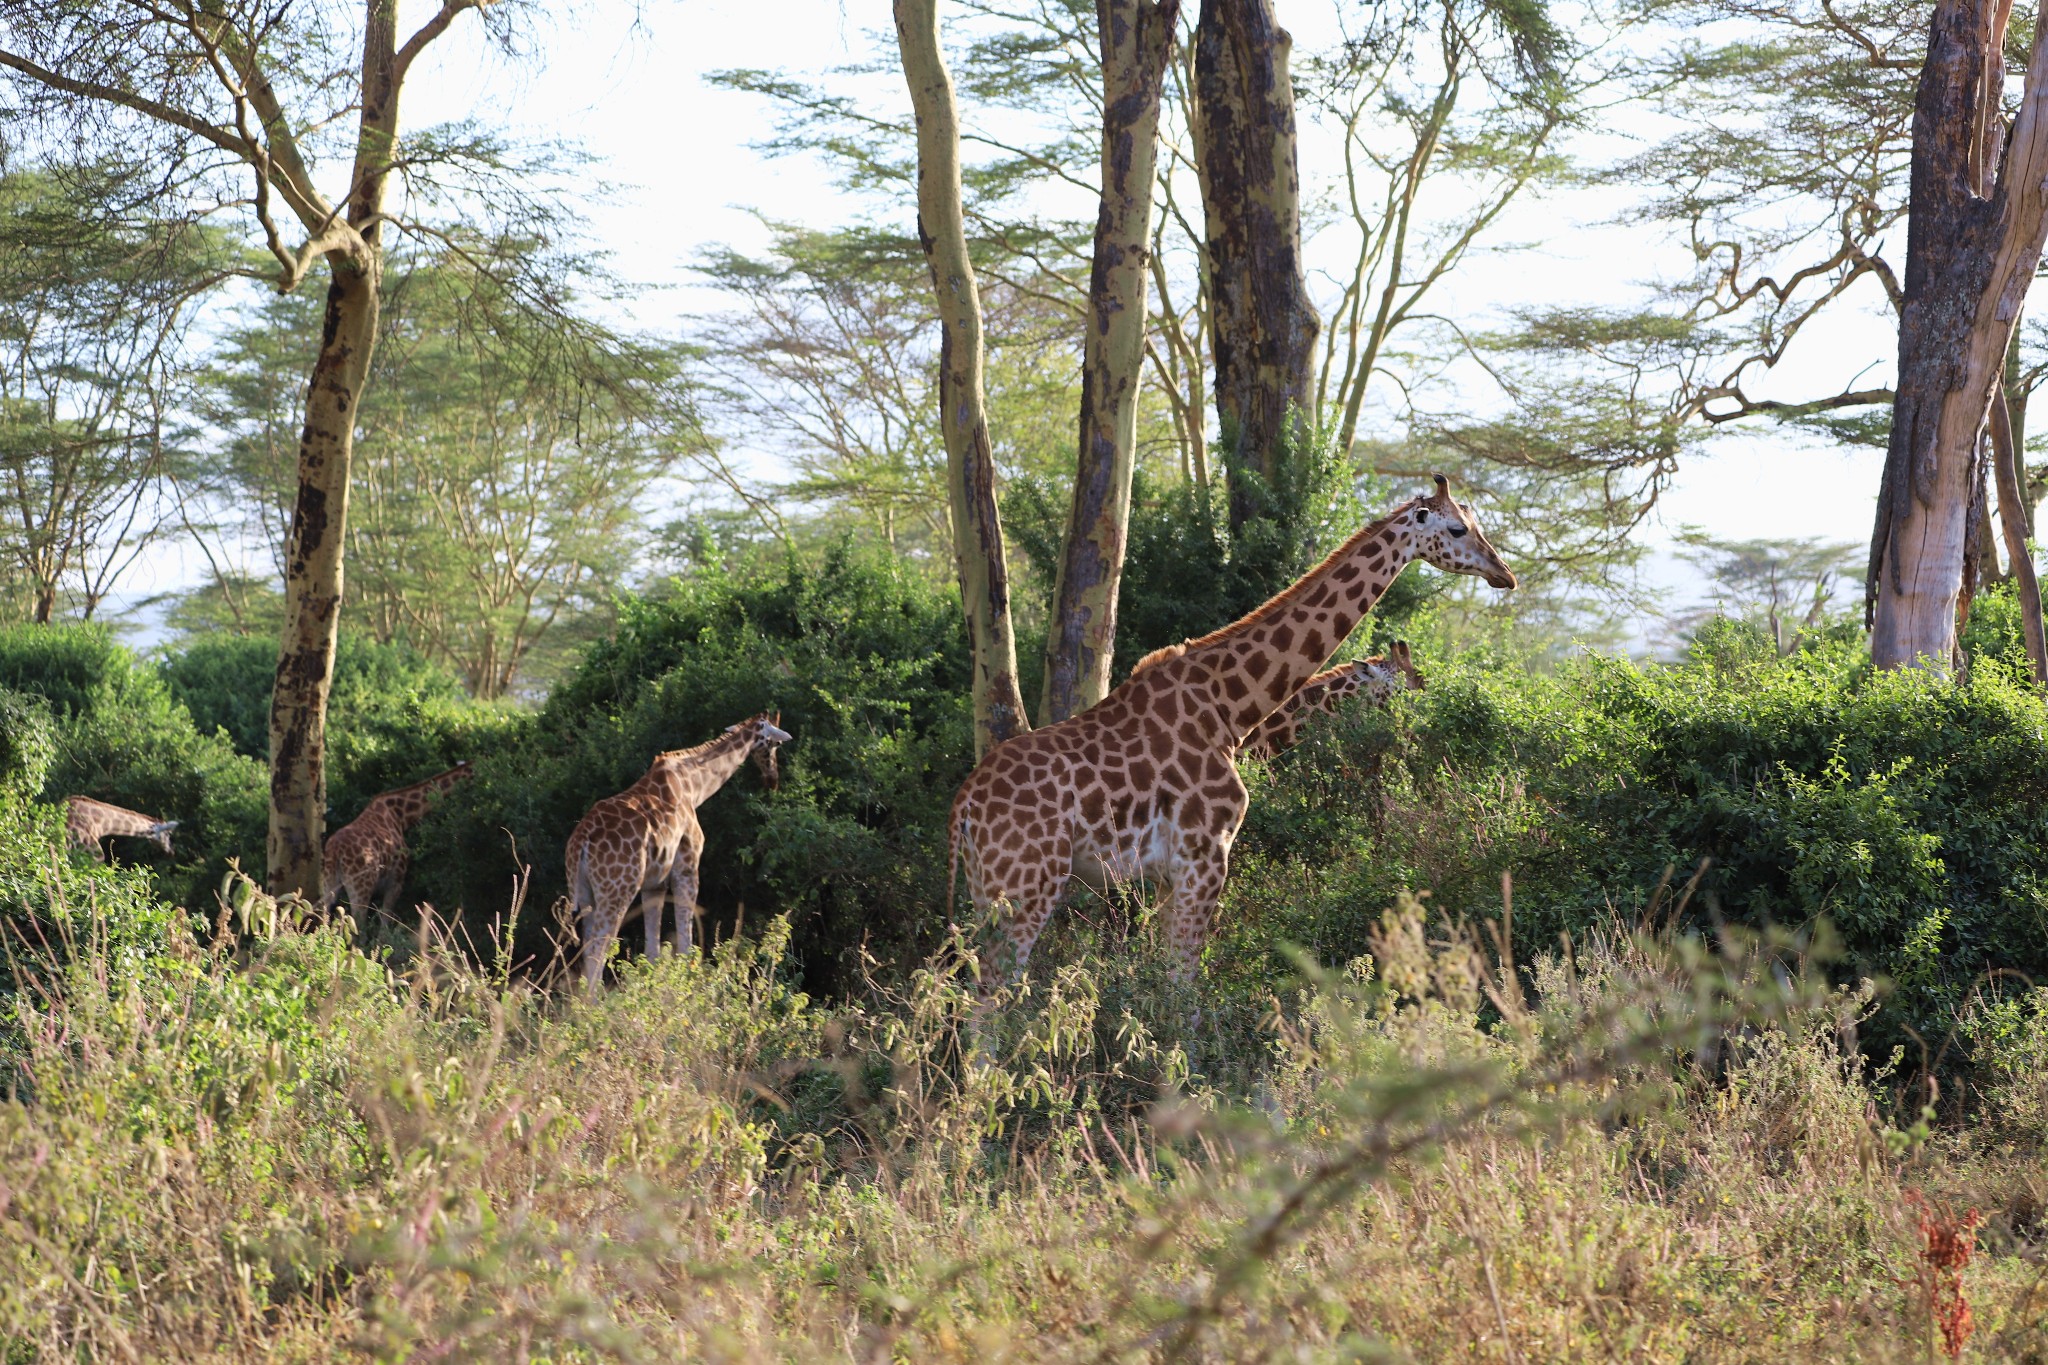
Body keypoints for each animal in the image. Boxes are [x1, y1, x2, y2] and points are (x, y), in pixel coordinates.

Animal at [319, 765, 471, 912]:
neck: (401, 816)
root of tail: (336, 851)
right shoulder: (396, 880)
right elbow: (385, 917)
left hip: (329, 883)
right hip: (361, 886)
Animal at [569, 716, 790, 994]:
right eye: (774, 745)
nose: (772, 779)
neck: (695, 786)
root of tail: (580, 843)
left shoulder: (654, 884)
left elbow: (652, 951)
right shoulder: (687, 868)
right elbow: (686, 943)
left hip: (585, 894)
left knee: (587, 944)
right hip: (617, 892)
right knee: (599, 946)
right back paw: (595, 1002)